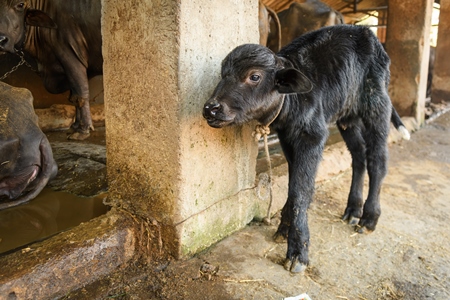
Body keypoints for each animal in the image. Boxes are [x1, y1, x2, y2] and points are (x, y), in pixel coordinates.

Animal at [0, 0, 102, 141]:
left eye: (20, 5)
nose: (1, 40)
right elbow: (73, 95)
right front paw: (75, 125)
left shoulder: (71, 55)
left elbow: (80, 94)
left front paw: (83, 130)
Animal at [202, 25, 410, 274]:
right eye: (223, 74)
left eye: (254, 76)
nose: (211, 108)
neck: (292, 101)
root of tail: (365, 31)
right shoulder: (287, 138)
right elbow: (293, 183)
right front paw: (284, 227)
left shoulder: (313, 137)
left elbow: (301, 190)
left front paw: (298, 251)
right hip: (347, 116)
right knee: (358, 155)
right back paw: (353, 210)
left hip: (376, 106)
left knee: (377, 159)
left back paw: (369, 218)